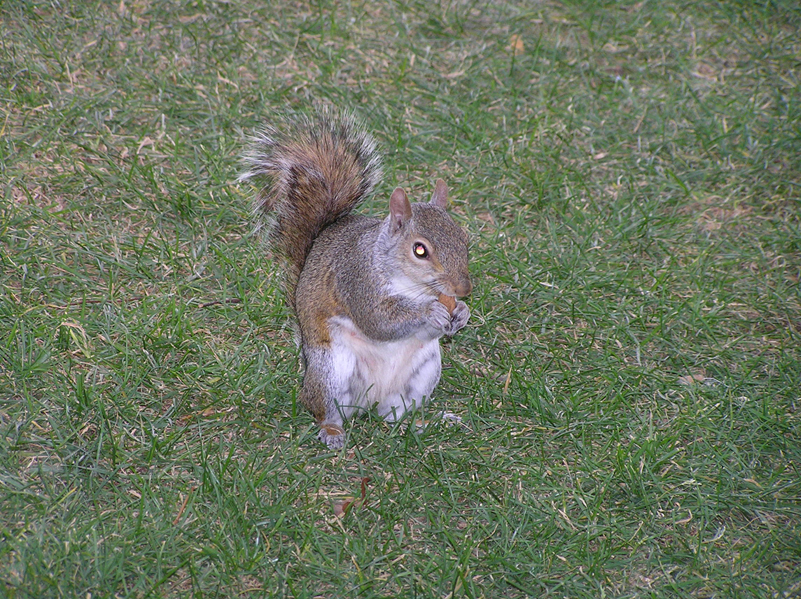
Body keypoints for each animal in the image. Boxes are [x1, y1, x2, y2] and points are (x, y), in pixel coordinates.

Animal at [241, 110, 472, 450]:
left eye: (464, 238)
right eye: (420, 250)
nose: (464, 289)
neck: (413, 287)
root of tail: (370, 404)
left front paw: (462, 314)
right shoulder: (357, 279)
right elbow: (378, 320)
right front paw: (430, 312)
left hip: (424, 372)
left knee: (396, 416)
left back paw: (428, 422)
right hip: (331, 372)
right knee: (325, 411)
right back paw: (332, 432)